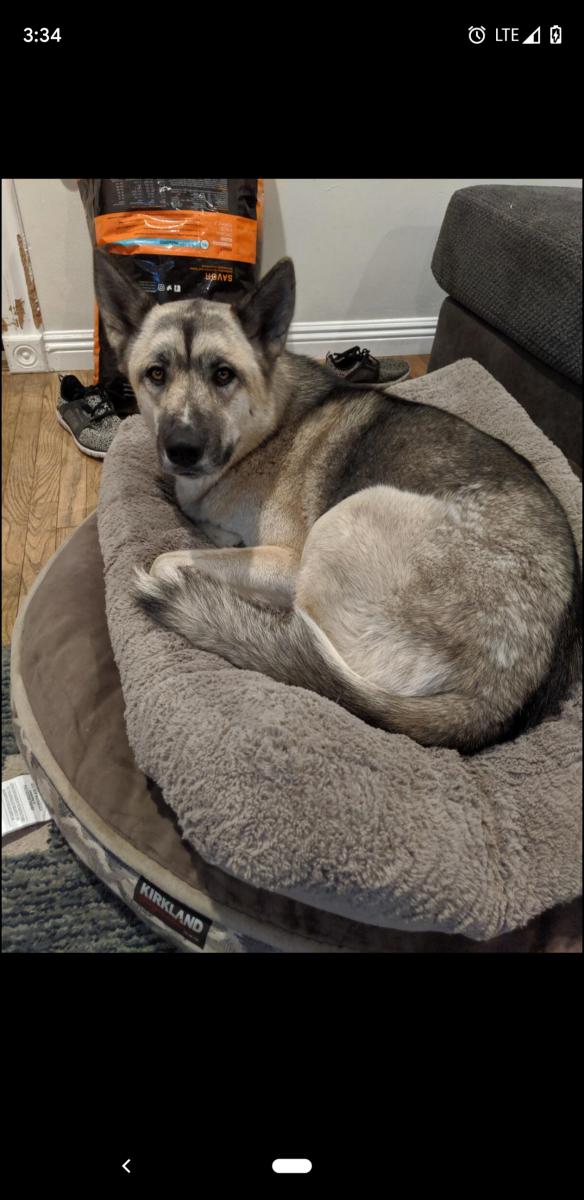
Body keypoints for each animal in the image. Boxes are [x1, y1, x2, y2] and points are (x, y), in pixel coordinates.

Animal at [94, 249, 581, 753]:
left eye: (224, 375)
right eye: (156, 374)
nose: (182, 449)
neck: (267, 430)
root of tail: (495, 699)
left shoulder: (287, 561)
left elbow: (168, 558)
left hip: (344, 520)